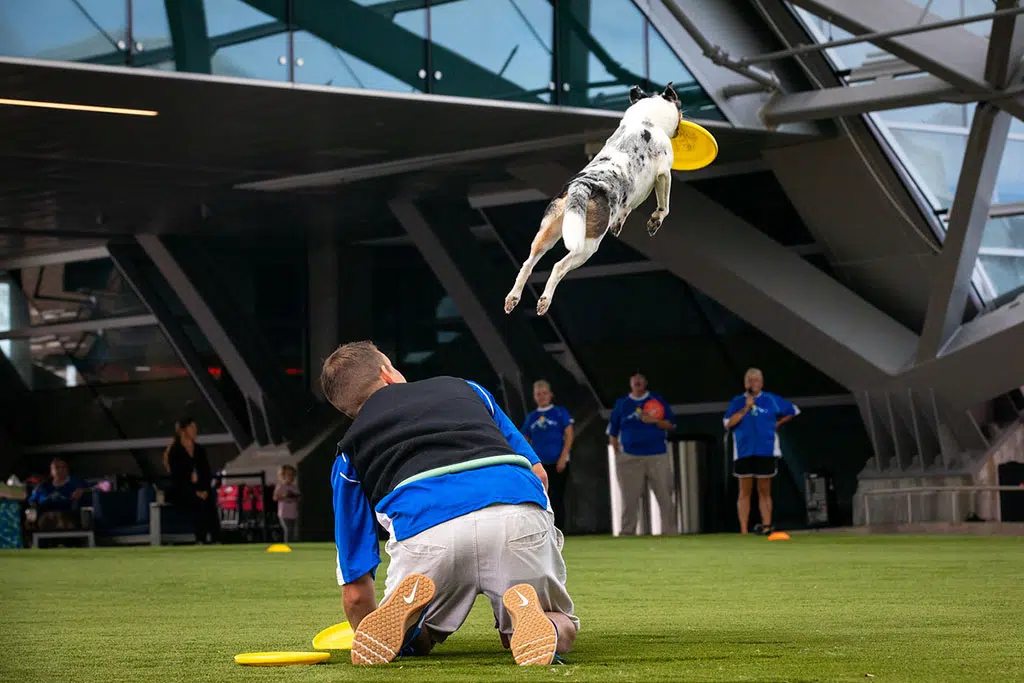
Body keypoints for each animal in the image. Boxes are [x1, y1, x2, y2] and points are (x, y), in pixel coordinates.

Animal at [501, 81, 679, 317]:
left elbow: (625, 210)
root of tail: (582, 185)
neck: (645, 118)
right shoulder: (664, 174)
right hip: (587, 245)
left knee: (527, 264)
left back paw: (513, 297)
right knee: (559, 267)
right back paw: (545, 300)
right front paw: (655, 220)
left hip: (549, 232)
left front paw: (619, 223)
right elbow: (664, 205)